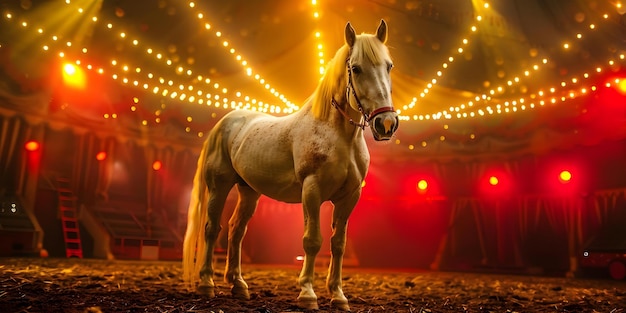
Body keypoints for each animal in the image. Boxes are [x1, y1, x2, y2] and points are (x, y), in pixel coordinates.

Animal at [182, 20, 394, 310]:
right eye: (356, 68)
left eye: (389, 66)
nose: (386, 123)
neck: (338, 135)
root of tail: (225, 122)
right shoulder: (312, 190)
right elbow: (312, 240)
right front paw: (307, 293)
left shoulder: (349, 197)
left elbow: (338, 244)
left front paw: (338, 296)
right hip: (219, 187)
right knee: (212, 229)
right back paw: (206, 284)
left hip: (249, 191)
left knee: (236, 231)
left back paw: (239, 286)